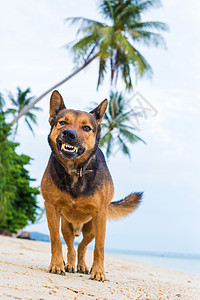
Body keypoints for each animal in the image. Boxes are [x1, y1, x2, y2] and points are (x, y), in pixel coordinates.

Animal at [41, 91, 142, 282]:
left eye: (87, 128)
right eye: (62, 122)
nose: (69, 134)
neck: (76, 170)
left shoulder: (100, 215)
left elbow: (99, 247)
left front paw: (98, 272)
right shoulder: (51, 208)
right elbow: (56, 241)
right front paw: (57, 265)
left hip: (91, 228)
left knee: (82, 246)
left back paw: (81, 266)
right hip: (66, 226)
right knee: (71, 247)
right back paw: (70, 264)